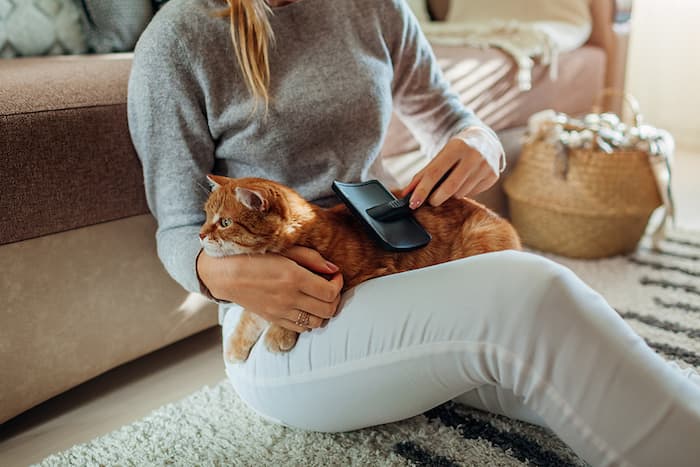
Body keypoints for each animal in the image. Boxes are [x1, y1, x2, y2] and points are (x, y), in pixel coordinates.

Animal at [198, 174, 520, 364]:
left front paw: (279, 333)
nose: (200, 235)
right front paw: (235, 346)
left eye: (224, 222)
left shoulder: (367, 273)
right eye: (205, 216)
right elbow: (252, 314)